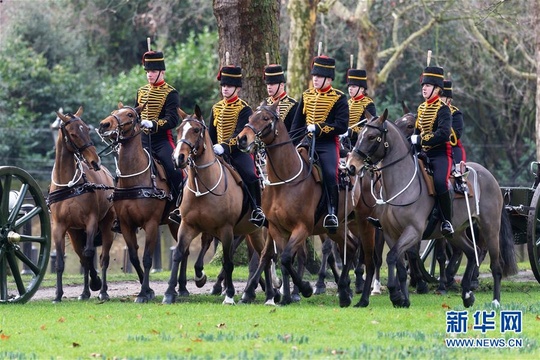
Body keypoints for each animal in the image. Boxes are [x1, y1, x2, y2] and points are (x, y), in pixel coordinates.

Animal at [48, 106, 116, 300]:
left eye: (86, 129)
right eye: (73, 133)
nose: (95, 161)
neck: (70, 186)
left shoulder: (91, 221)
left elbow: (89, 253)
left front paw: (96, 282)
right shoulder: (59, 227)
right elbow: (62, 261)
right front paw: (58, 295)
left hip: (107, 227)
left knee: (103, 258)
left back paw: (103, 291)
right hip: (75, 233)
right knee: (82, 257)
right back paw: (85, 292)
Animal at [98, 102, 180, 302]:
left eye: (129, 114)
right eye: (114, 112)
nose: (105, 125)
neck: (134, 179)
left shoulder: (151, 224)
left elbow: (147, 258)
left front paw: (143, 293)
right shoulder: (126, 224)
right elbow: (134, 257)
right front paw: (148, 290)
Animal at [159, 105, 270, 306]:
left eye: (196, 130)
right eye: (179, 129)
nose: (178, 158)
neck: (204, 186)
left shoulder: (226, 229)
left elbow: (228, 261)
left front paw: (229, 295)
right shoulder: (187, 225)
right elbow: (178, 254)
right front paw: (170, 292)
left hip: (260, 230)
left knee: (266, 256)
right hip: (250, 231)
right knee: (262, 256)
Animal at [238, 100, 378, 308]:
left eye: (265, 118)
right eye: (250, 117)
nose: (242, 139)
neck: (284, 181)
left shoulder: (302, 228)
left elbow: (287, 257)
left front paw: (304, 289)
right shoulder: (277, 229)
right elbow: (281, 260)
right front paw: (285, 296)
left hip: (363, 222)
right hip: (336, 227)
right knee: (351, 247)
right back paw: (344, 292)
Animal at [346, 109, 520, 306]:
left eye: (371, 136)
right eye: (360, 134)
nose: (351, 166)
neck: (402, 184)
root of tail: (490, 177)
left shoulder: (413, 231)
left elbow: (393, 257)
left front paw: (397, 295)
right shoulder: (390, 233)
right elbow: (397, 262)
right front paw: (402, 298)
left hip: (489, 228)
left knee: (495, 264)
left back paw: (495, 301)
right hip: (457, 232)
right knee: (470, 252)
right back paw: (467, 293)